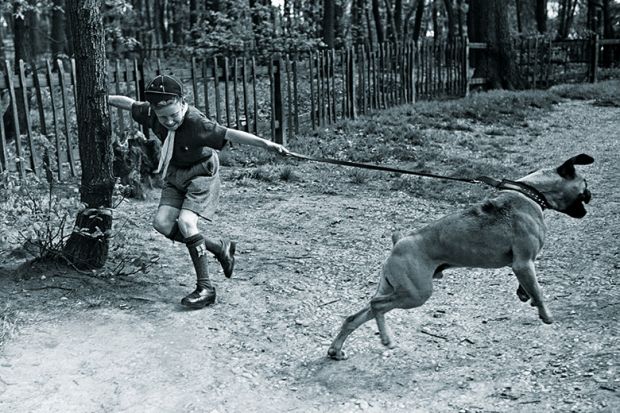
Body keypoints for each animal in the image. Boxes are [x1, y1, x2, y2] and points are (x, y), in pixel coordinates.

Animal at [326, 153, 592, 358]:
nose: (590, 195)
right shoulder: (523, 262)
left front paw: (525, 295)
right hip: (415, 294)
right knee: (376, 305)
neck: (530, 192)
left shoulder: (522, 265)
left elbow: (529, 287)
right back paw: (386, 339)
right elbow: (539, 290)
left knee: (356, 315)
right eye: (585, 184)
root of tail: (399, 242)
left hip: (396, 289)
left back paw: (336, 350)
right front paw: (546, 315)